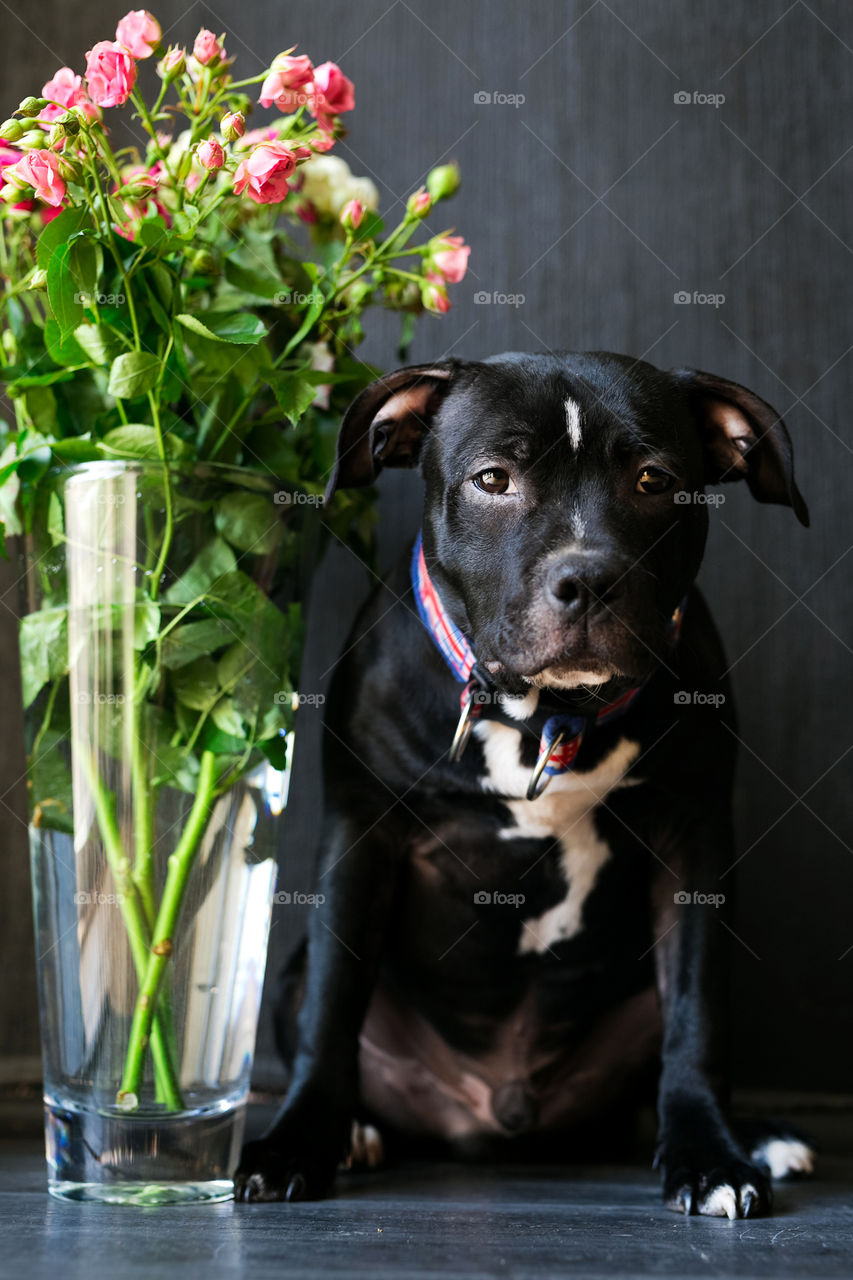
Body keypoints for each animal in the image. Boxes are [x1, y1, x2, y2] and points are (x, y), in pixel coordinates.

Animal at [233, 353, 809, 1218]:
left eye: (653, 479)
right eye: (493, 479)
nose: (587, 579)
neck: (546, 719)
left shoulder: (692, 840)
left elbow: (697, 1016)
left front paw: (710, 1157)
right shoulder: (362, 834)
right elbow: (331, 1011)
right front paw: (297, 1142)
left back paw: (760, 1136)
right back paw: (359, 1131)